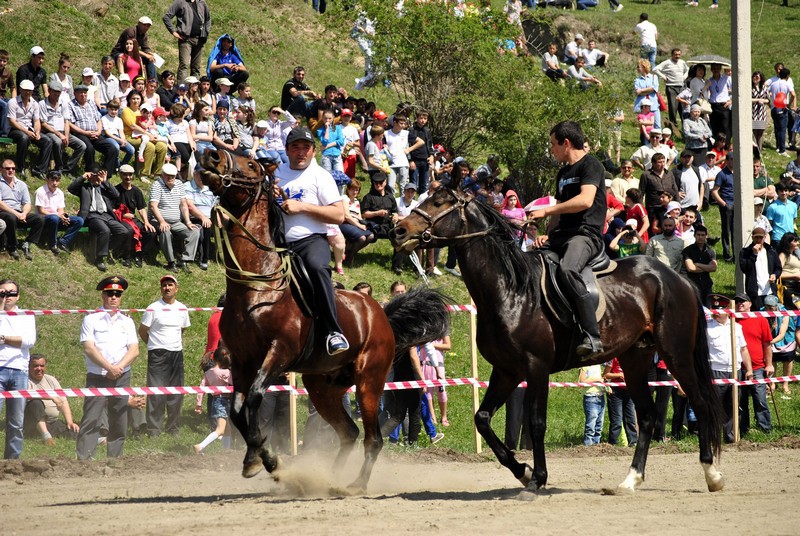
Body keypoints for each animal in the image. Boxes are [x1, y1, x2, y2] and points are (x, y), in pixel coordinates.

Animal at [198, 149, 449, 492]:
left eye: (250, 164)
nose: (210, 156)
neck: (259, 284)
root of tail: (381, 315)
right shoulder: (242, 360)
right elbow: (238, 410)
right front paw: (256, 459)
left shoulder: (279, 353)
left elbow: (253, 398)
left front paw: (267, 460)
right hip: (322, 388)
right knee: (349, 433)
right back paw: (326, 480)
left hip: (368, 383)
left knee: (372, 439)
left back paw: (354, 485)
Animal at [390, 186, 725, 497]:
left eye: (438, 202)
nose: (398, 230)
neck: (510, 290)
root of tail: (675, 278)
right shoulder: (507, 371)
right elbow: (482, 419)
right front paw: (522, 471)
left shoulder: (536, 368)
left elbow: (537, 423)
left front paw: (536, 478)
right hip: (635, 359)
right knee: (646, 416)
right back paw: (630, 480)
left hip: (676, 354)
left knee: (700, 403)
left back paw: (712, 474)